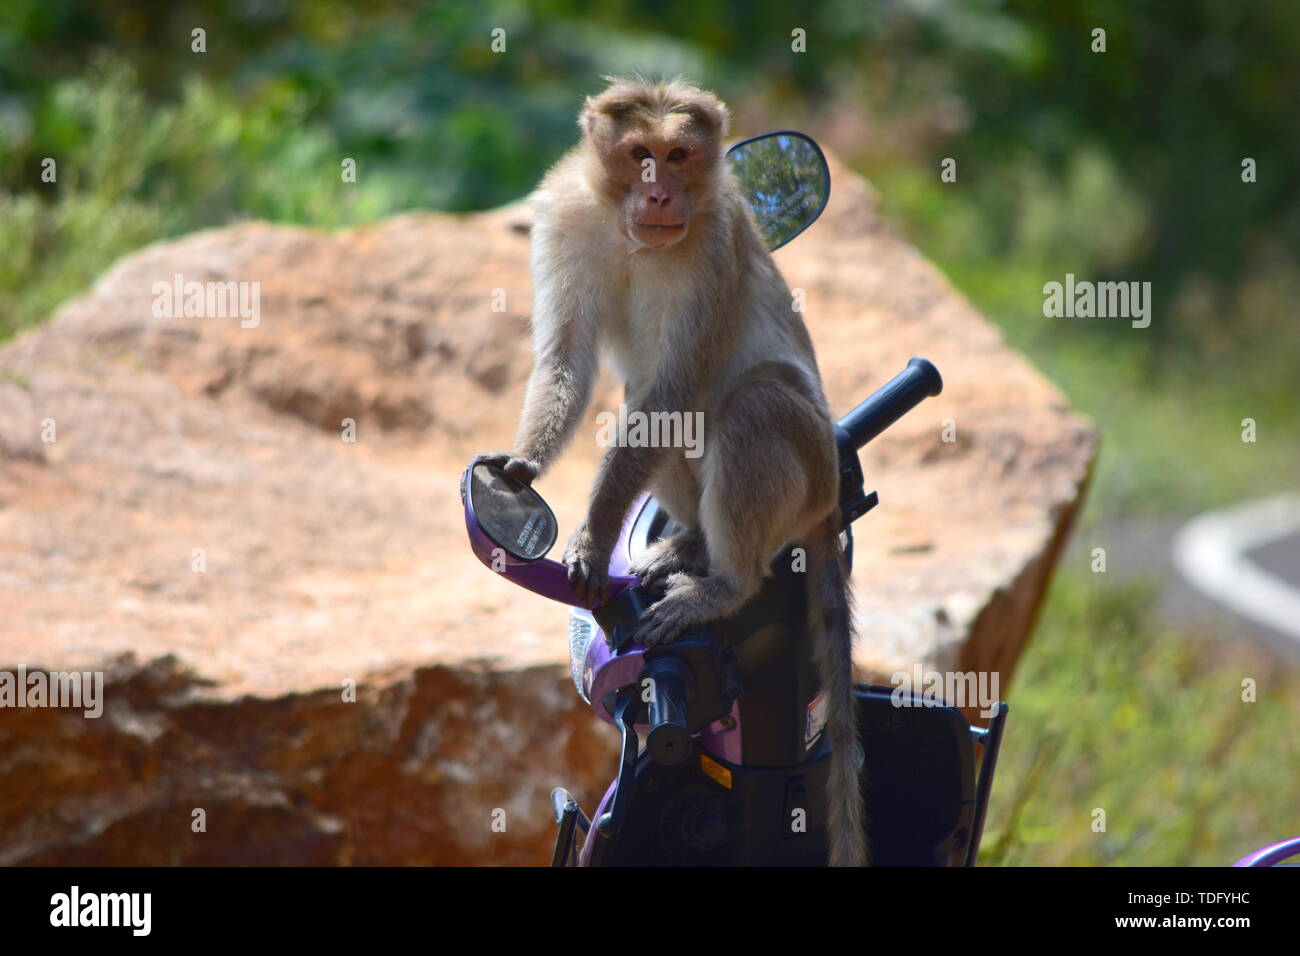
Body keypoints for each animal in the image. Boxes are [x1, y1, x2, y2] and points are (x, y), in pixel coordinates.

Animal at [483, 76, 868, 868]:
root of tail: (831, 500)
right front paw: (523, 467)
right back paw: (690, 541)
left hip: (806, 465)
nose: (661, 192)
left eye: (680, 155)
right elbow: (570, 359)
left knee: (742, 406)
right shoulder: (566, 219)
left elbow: (672, 394)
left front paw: (594, 536)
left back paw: (725, 583)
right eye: (640, 153)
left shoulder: (715, 239)